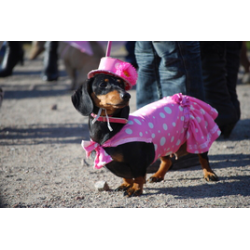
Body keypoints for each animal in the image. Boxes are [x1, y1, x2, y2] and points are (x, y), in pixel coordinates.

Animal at [71, 74, 220, 197]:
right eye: (103, 84)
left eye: (120, 84)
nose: (127, 96)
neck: (113, 128)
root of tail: (183, 98)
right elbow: (125, 176)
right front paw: (127, 184)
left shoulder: (138, 159)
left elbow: (138, 176)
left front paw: (135, 189)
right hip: (161, 143)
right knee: (168, 161)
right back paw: (158, 175)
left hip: (198, 133)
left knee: (203, 157)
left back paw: (209, 173)